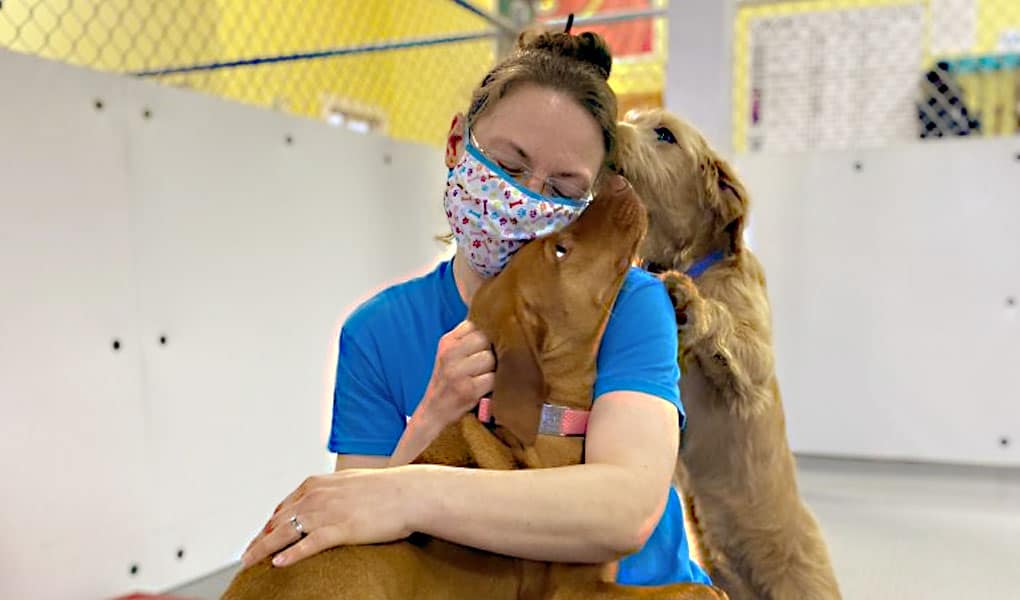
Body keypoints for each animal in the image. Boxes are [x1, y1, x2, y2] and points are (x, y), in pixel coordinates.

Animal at [616, 111, 840, 600]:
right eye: (631, 119)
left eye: (664, 135)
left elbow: (729, 336)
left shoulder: (754, 366)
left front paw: (690, 305)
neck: (693, 260)